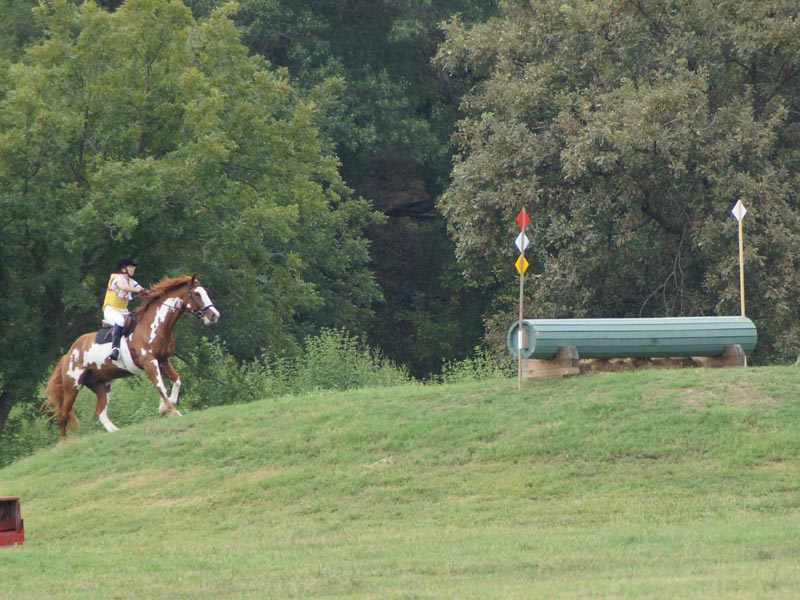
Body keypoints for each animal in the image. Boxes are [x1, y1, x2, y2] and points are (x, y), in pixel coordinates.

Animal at [43, 274, 220, 440]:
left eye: (206, 292)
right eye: (197, 293)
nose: (214, 315)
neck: (154, 325)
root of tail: (68, 354)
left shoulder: (163, 360)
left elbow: (177, 380)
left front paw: (163, 407)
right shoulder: (150, 362)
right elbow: (160, 386)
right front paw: (172, 411)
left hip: (102, 385)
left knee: (100, 412)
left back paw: (115, 431)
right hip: (73, 385)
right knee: (64, 414)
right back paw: (64, 443)